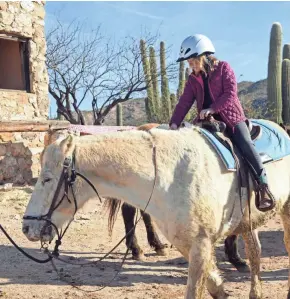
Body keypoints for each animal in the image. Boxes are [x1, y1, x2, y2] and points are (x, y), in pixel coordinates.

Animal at [22, 122, 290, 299]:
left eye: (47, 179)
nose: (27, 227)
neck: (168, 174)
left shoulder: (201, 243)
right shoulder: (186, 242)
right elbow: (213, 282)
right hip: (249, 221)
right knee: (255, 252)